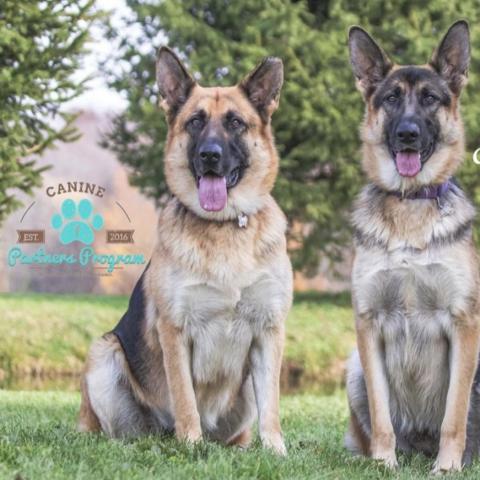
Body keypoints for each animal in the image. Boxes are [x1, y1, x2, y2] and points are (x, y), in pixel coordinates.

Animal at [79, 47, 292, 454]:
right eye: (195, 122)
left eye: (236, 123)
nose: (210, 155)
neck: (224, 226)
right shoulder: (175, 330)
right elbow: (185, 397)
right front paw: (191, 444)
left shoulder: (269, 331)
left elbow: (272, 404)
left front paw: (275, 449)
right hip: (104, 353)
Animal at [344, 22, 480, 472]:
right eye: (390, 99)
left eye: (430, 99)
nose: (407, 133)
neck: (409, 203)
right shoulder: (368, 325)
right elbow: (381, 413)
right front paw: (383, 462)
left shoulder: (463, 324)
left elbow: (454, 415)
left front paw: (448, 466)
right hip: (353, 369)